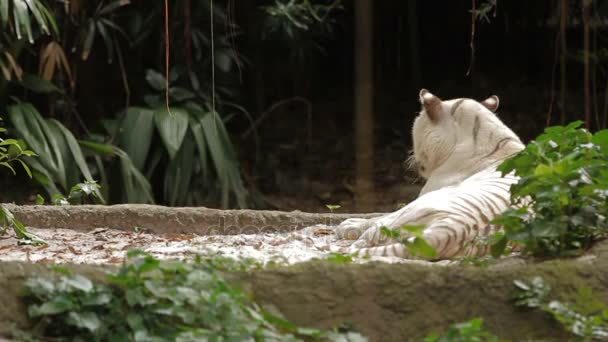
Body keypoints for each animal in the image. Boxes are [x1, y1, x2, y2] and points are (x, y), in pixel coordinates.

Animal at [334, 88, 524, 260]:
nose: (411, 154)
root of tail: (447, 233)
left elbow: (377, 216)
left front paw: (349, 224)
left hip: (417, 207)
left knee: (372, 233)